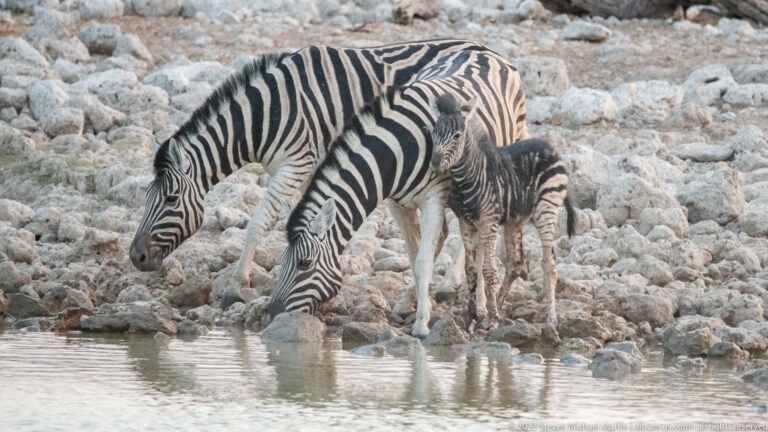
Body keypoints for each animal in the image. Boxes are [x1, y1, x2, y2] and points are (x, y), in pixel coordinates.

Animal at [127, 40, 526, 311]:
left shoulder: (295, 163)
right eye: (146, 197)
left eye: (171, 199)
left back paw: (448, 284)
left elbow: (257, 223)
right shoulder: (303, 172)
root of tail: (488, 49)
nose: (135, 258)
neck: (267, 112)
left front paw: (235, 287)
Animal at [270, 63, 528, 338]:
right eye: (282, 261)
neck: (394, 151)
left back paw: (479, 303)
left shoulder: (434, 198)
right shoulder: (397, 204)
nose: (272, 314)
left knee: (478, 245)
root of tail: (492, 55)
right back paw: (411, 300)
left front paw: (421, 324)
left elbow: (423, 262)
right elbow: (415, 260)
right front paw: (418, 306)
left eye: (304, 263)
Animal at [429, 92, 575, 329]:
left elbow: (488, 270)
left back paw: (551, 319)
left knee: (549, 264)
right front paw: (473, 315)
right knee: (516, 265)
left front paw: (493, 320)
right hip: (518, 218)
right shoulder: (465, 222)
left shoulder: (488, 221)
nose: (434, 163)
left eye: (457, 136)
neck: (466, 178)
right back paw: (496, 303)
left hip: (546, 209)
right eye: (434, 133)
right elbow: (471, 269)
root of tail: (551, 148)